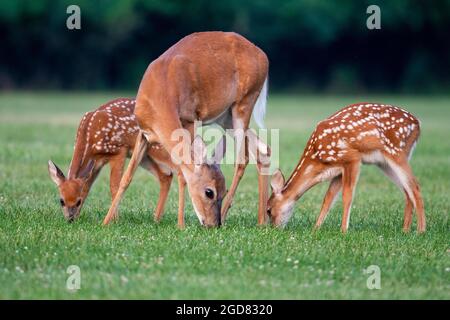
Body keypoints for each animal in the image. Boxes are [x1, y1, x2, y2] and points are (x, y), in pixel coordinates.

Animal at [48, 97, 218, 228]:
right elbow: (88, 186)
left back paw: (179, 223)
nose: (70, 219)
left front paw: (115, 220)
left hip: (160, 150)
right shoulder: (96, 163)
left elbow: (114, 185)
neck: (90, 135)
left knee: (182, 172)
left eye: (78, 202)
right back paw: (156, 218)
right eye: (61, 201)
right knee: (165, 176)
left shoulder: (119, 150)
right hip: (146, 156)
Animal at [102, 31, 270, 228]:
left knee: (243, 159)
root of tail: (263, 56)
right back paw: (262, 221)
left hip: (244, 104)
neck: (161, 94)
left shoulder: (190, 120)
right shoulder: (143, 132)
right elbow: (127, 177)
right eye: (209, 192)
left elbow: (182, 174)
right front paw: (106, 222)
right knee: (262, 149)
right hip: (226, 117)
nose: (214, 224)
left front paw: (180, 225)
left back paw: (230, 214)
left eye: (223, 190)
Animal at [268, 104, 426, 234]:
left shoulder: (351, 158)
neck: (317, 159)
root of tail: (418, 124)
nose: (274, 228)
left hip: (396, 151)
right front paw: (315, 229)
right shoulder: (338, 171)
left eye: (268, 210)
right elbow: (328, 198)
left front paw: (343, 230)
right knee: (407, 190)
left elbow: (347, 195)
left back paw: (421, 230)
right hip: (385, 163)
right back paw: (405, 230)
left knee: (415, 186)